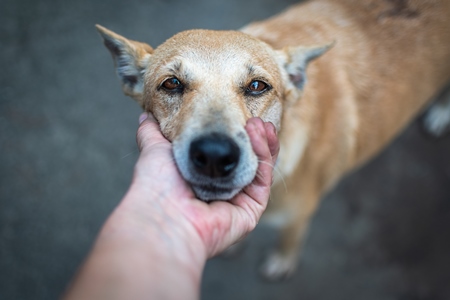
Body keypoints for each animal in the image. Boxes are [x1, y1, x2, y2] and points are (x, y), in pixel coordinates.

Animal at [96, 0, 450, 280]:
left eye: (257, 86)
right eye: (171, 83)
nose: (214, 156)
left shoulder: (299, 216)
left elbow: (289, 241)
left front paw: (281, 262)